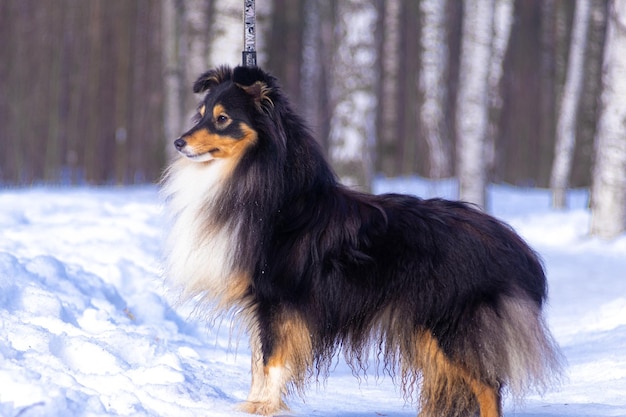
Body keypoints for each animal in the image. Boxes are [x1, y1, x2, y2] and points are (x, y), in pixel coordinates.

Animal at [161, 66, 560, 414]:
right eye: (200, 114)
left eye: (223, 119)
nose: (179, 142)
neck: (271, 191)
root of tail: (514, 245)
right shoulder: (264, 307)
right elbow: (259, 363)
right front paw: (255, 404)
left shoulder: (277, 302)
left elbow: (271, 362)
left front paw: (262, 409)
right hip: (428, 331)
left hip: (453, 326)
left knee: (488, 385)